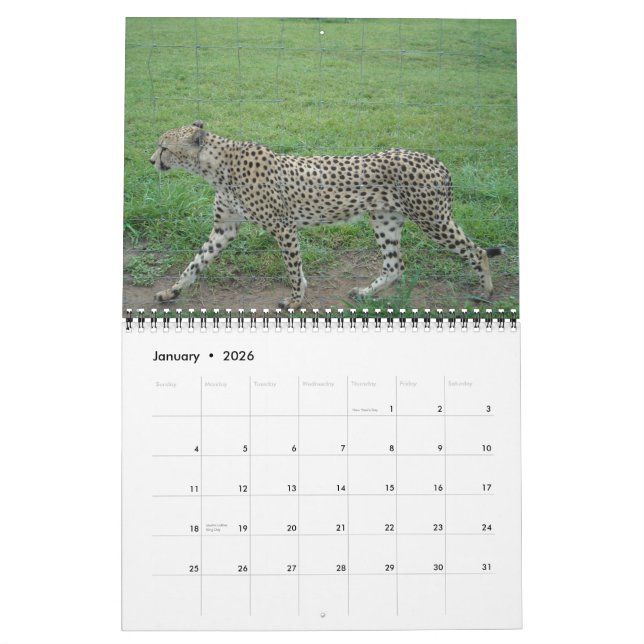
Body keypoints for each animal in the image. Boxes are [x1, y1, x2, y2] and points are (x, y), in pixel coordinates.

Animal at [149, 120, 504, 309]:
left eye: (164, 147)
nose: (151, 161)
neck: (217, 166)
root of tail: (436, 161)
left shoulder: (284, 227)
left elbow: (293, 268)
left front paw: (295, 300)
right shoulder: (225, 228)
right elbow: (195, 263)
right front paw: (172, 291)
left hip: (432, 219)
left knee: (475, 251)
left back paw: (486, 291)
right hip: (385, 219)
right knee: (395, 265)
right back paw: (365, 293)